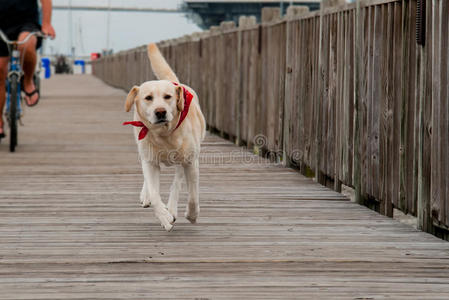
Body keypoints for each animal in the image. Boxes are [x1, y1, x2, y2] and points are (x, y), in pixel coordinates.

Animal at [123, 42, 206, 232]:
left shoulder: (191, 162)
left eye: (168, 97)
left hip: (184, 160)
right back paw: (147, 196)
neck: (164, 134)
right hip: (144, 151)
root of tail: (176, 82)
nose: (160, 112)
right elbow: (155, 195)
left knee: (177, 182)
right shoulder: (150, 162)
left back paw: (173, 208)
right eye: (148, 98)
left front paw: (191, 215)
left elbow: (192, 195)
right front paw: (164, 217)